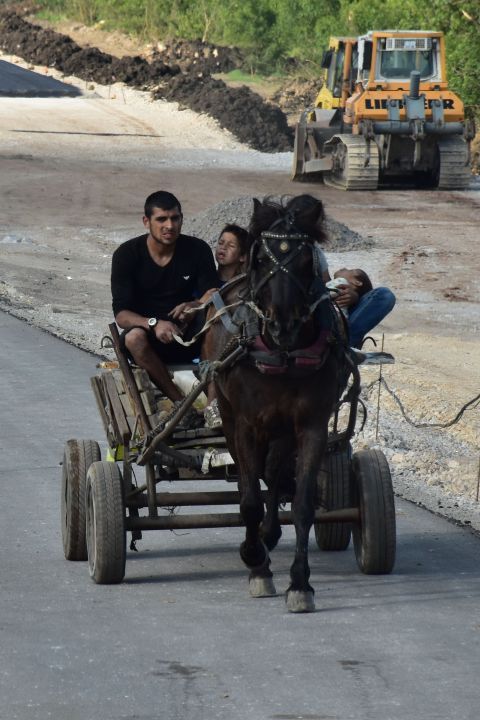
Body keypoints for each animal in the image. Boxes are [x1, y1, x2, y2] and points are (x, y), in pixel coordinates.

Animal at [204, 194, 346, 612]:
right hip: (231, 417)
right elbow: (249, 499)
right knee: (248, 476)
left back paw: (268, 533)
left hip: (282, 428)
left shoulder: (312, 425)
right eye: (264, 261)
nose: (283, 325)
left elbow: (302, 505)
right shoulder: (247, 424)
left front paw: (300, 583)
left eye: (304, 262)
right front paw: (256, 564)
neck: (283, 352)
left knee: (273, 469)